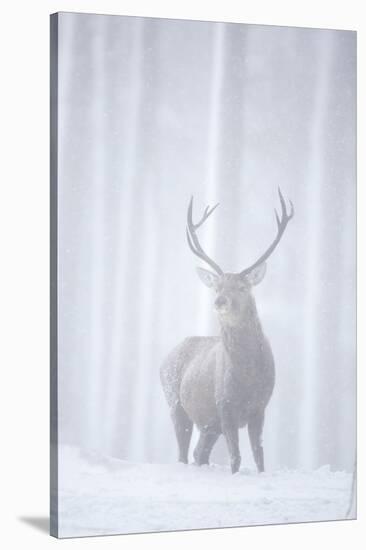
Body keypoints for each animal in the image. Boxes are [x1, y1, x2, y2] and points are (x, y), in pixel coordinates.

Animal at [161, 191, 294, 474]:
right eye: (217, 287)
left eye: (242, 287)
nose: (219, 301)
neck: (248, 376)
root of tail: (165, 357)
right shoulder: (225, 405)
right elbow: (236, 458)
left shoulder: (259, 407)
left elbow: (259, 457)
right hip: (175, 403)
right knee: (183, 453)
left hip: (208, 424)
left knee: (199, 453)